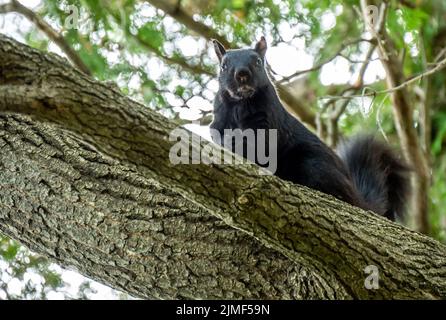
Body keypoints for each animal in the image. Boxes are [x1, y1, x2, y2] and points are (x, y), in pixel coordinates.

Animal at [210, 36, 412, 221]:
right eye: (223, 66)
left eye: (258, 62)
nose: (242, 74)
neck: (241, 104)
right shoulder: (218, 122)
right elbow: (218, 134)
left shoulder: (267, 121)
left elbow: (258, 144)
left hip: (314, 165)